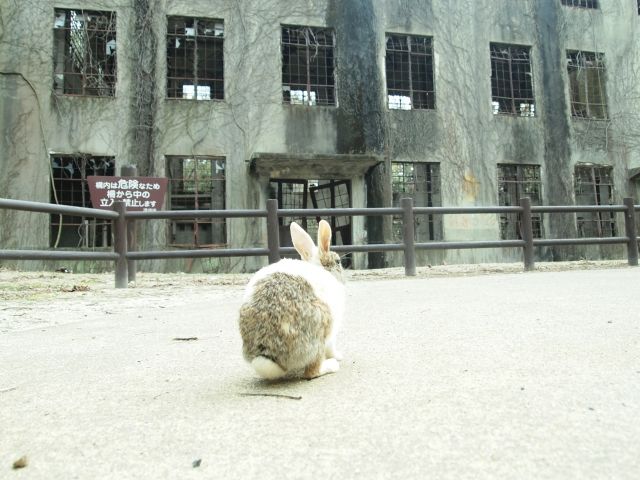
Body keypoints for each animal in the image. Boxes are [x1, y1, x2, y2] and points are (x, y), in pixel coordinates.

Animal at [239, 219, 344, 380]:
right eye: (338, 261)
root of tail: (267, 354)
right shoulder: (333, 330)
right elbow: (331, 348)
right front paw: (339, 356)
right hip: (321, 327)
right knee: (312, 371)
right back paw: (331, 365)